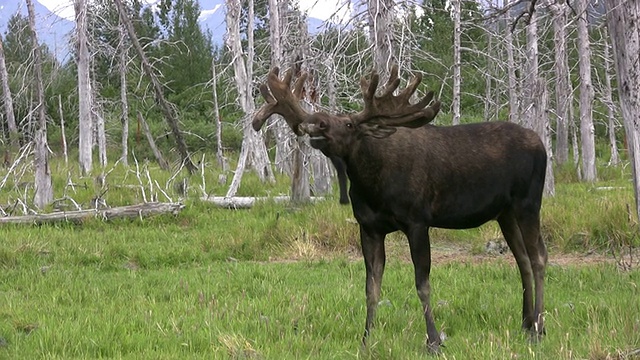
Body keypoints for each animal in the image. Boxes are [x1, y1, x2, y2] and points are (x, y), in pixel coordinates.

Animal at [252, 65, 548, 352]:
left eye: (348, 123)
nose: (315, 121)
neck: (373, 186)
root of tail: (542, 144)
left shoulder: (417, 222)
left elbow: (422, 284)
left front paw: (433, 341)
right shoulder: (369, 227)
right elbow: (371, 288)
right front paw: (365, 341)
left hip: (528, 203)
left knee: (539, 258)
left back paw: (538, 328)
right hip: (505, 213)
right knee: (522, 259)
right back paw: (526, 322)